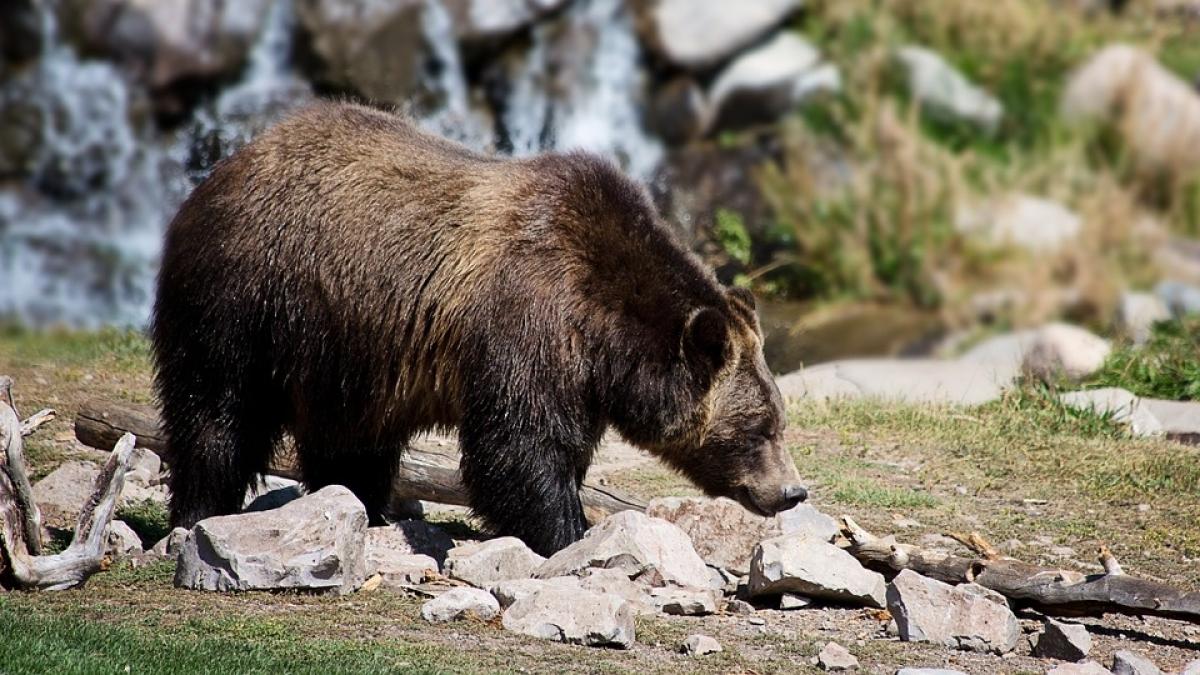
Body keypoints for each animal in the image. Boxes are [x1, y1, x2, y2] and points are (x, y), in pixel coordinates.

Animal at [152, 98, 806, 552]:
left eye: (778, 418)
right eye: (761, 427)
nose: (791, 491)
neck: (605, 333)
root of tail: (226, 166)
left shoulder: (580, 376)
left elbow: (557, 447)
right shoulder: (529, 320)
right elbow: (519, 447)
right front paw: (567, 532)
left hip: (344, 347)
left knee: (350, 438)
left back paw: (362, 504)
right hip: (247, 298)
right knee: (217, 409)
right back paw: (200, 510)